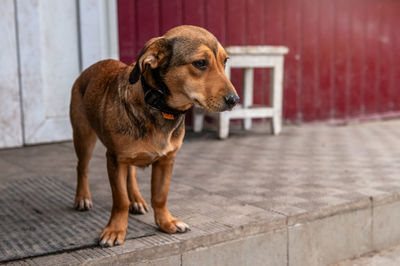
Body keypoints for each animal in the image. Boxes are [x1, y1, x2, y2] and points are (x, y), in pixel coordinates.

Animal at [69, 25, 238, 247]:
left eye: (225, 61)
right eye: (200, 63)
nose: (234, 100)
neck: (159, 106)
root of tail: (93, 66)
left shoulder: (166, 160)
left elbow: (160, 196)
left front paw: (166, 222)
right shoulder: (114, 159)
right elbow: (120, 200)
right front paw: (115, 230)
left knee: (130, 173)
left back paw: (136, 199)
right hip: (83, 136)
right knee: (82, 167)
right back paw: (82, 198)